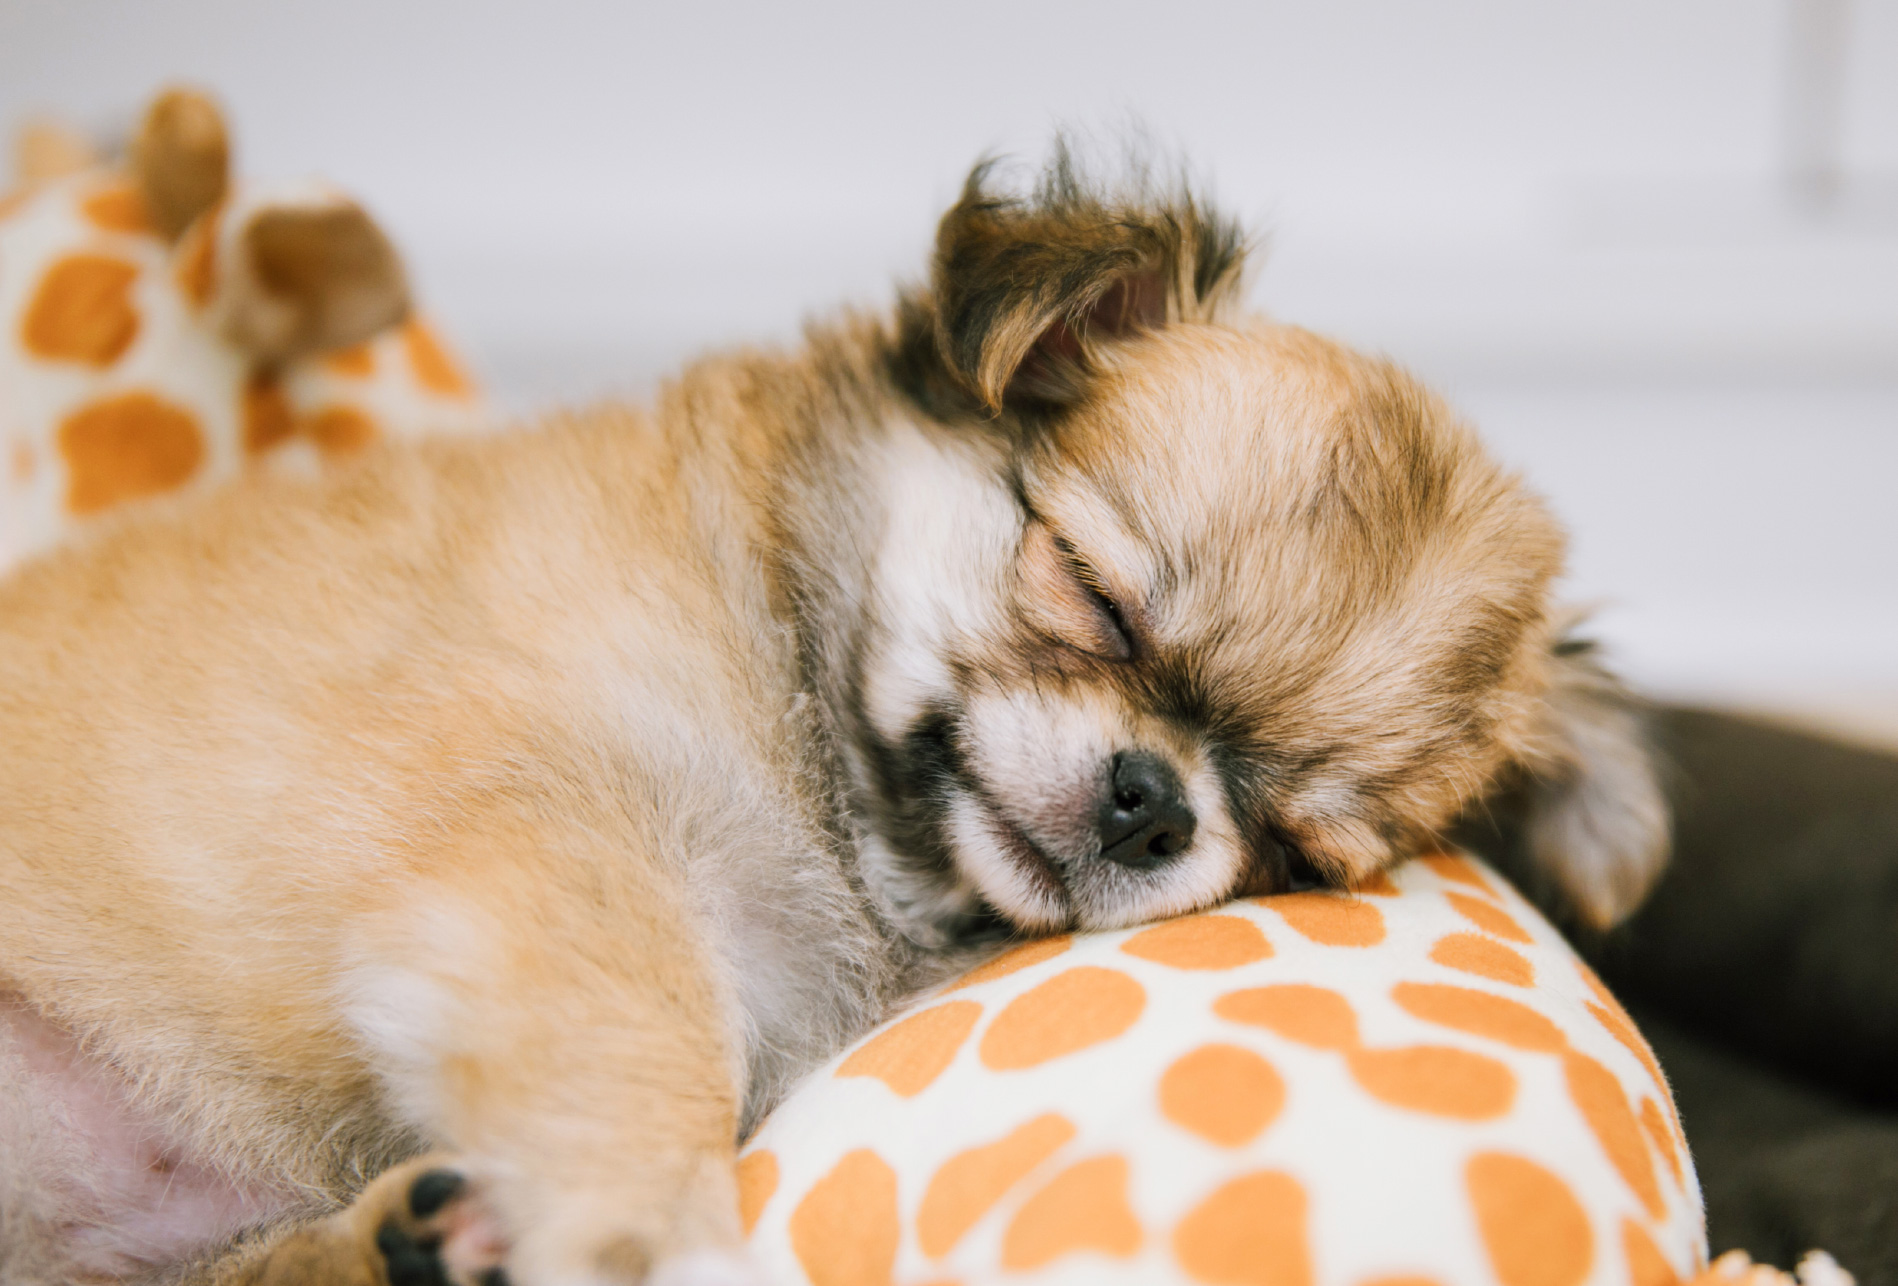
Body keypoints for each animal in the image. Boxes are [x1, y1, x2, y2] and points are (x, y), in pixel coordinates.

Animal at [0, 153, 1662, 1286]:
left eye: (1291, 848)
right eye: (1095, 594)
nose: (1153, 798)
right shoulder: (555, 850)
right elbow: (651, 1065)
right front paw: (652, 1242)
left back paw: (402, 1237)